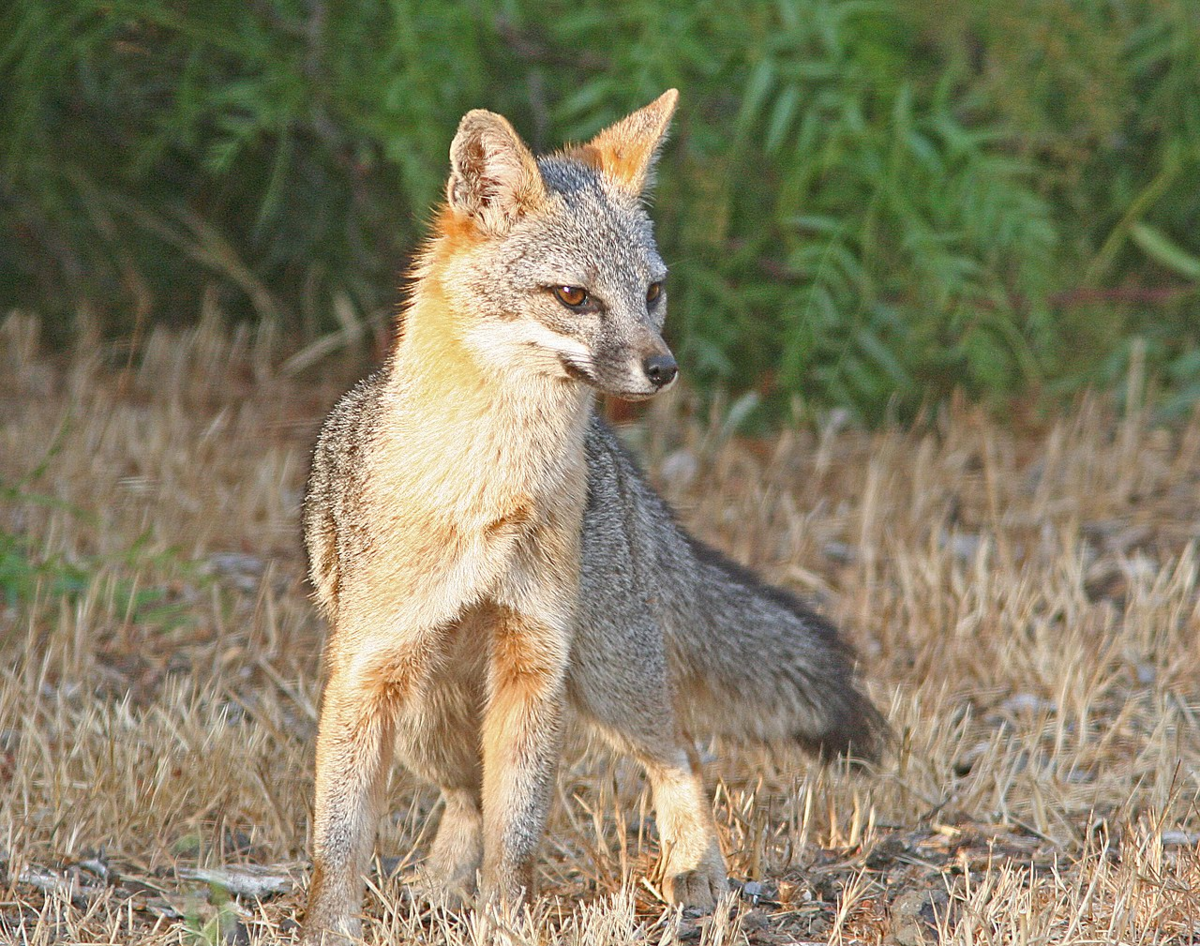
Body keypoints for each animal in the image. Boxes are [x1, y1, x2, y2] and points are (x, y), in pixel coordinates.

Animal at [300, 87, 883, 936]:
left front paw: (506, 925)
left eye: (652, 293)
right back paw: (440, 887)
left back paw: (695, 870)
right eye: (575, 296)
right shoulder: (368, 673)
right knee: (465, 793)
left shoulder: (535, 660)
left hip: (607, 675)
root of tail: (617, 460)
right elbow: (340, 845)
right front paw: (334, 927)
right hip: (422, 717)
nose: (664, 368)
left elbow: (516, 838)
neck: (489, 492)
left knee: (676, 752)